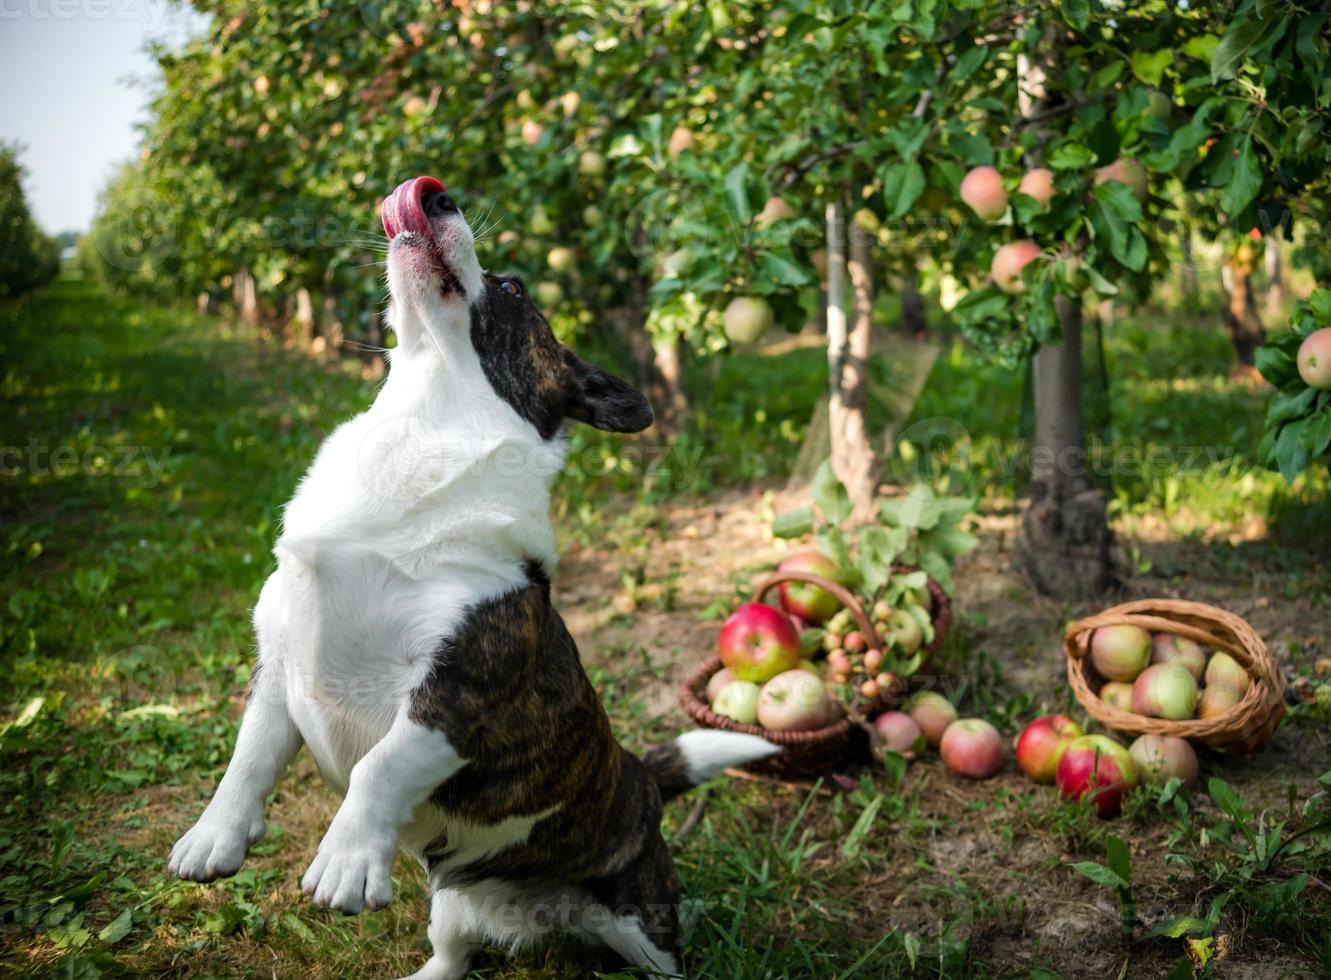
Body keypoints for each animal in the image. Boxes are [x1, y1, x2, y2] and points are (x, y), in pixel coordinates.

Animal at [163, 178, 777, 980]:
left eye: (513, 288)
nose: (432, 192)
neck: (426, 425)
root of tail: (639, 776)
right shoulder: (279, 669)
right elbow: (248, 758)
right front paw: (215, 838)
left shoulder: (455, 695)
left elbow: (380, 767)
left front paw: (347, 859)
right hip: (451, 902)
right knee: (454, 953)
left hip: (644, 922)